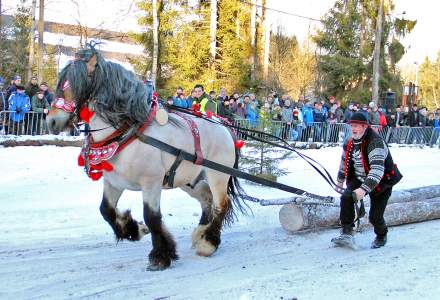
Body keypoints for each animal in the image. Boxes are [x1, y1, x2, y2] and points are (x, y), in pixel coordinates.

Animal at [47, 45, 248, 270]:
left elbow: (152, 217)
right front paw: (132, 229)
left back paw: (208, 243)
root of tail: (224, 126)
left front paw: (160, 256)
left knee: (221, 204)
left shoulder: (151, 182)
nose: (51, 121)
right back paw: (200, 234)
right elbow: (106, 210)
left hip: (217, 175)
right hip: (189, 180)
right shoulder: (113, 182)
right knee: (207, 199)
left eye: (76, 84)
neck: (126, 133)